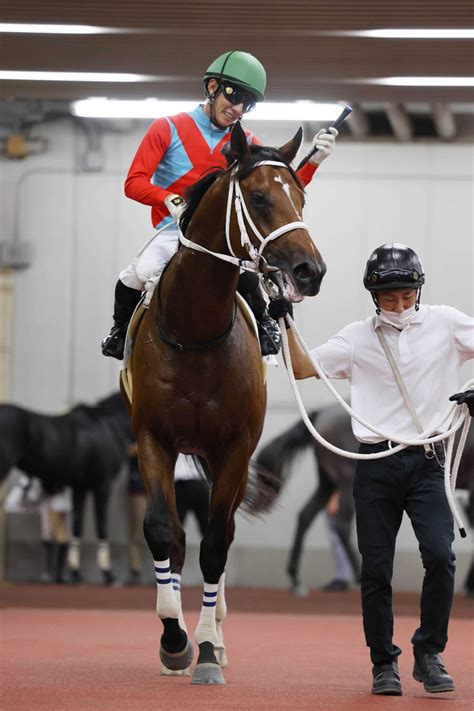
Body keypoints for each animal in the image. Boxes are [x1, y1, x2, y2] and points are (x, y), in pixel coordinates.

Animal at [0, 394, 131, 584]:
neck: (106, 425)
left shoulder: (80, 487)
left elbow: (77, 525)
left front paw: (76, 573)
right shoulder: (102, 485)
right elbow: (101, 525)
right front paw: (108, 574)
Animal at [128, 122, 328, 684]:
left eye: (301, 196)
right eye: (259, 198)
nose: (310, 270)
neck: (196, 333)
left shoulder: (235, 446)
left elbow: (217, 543)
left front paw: (207, 648)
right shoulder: (152, 438)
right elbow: (163, 533)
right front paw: (174, 640)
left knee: (226, 532)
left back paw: (215, 634)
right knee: (176, 538)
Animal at [258, 406, 474, 596]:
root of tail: (321, 412)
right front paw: (468, 586)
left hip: (327, 482)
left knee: (306, 515)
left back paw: (296, 580)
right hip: (346, 481)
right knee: (341, 524)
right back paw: (356, 574)